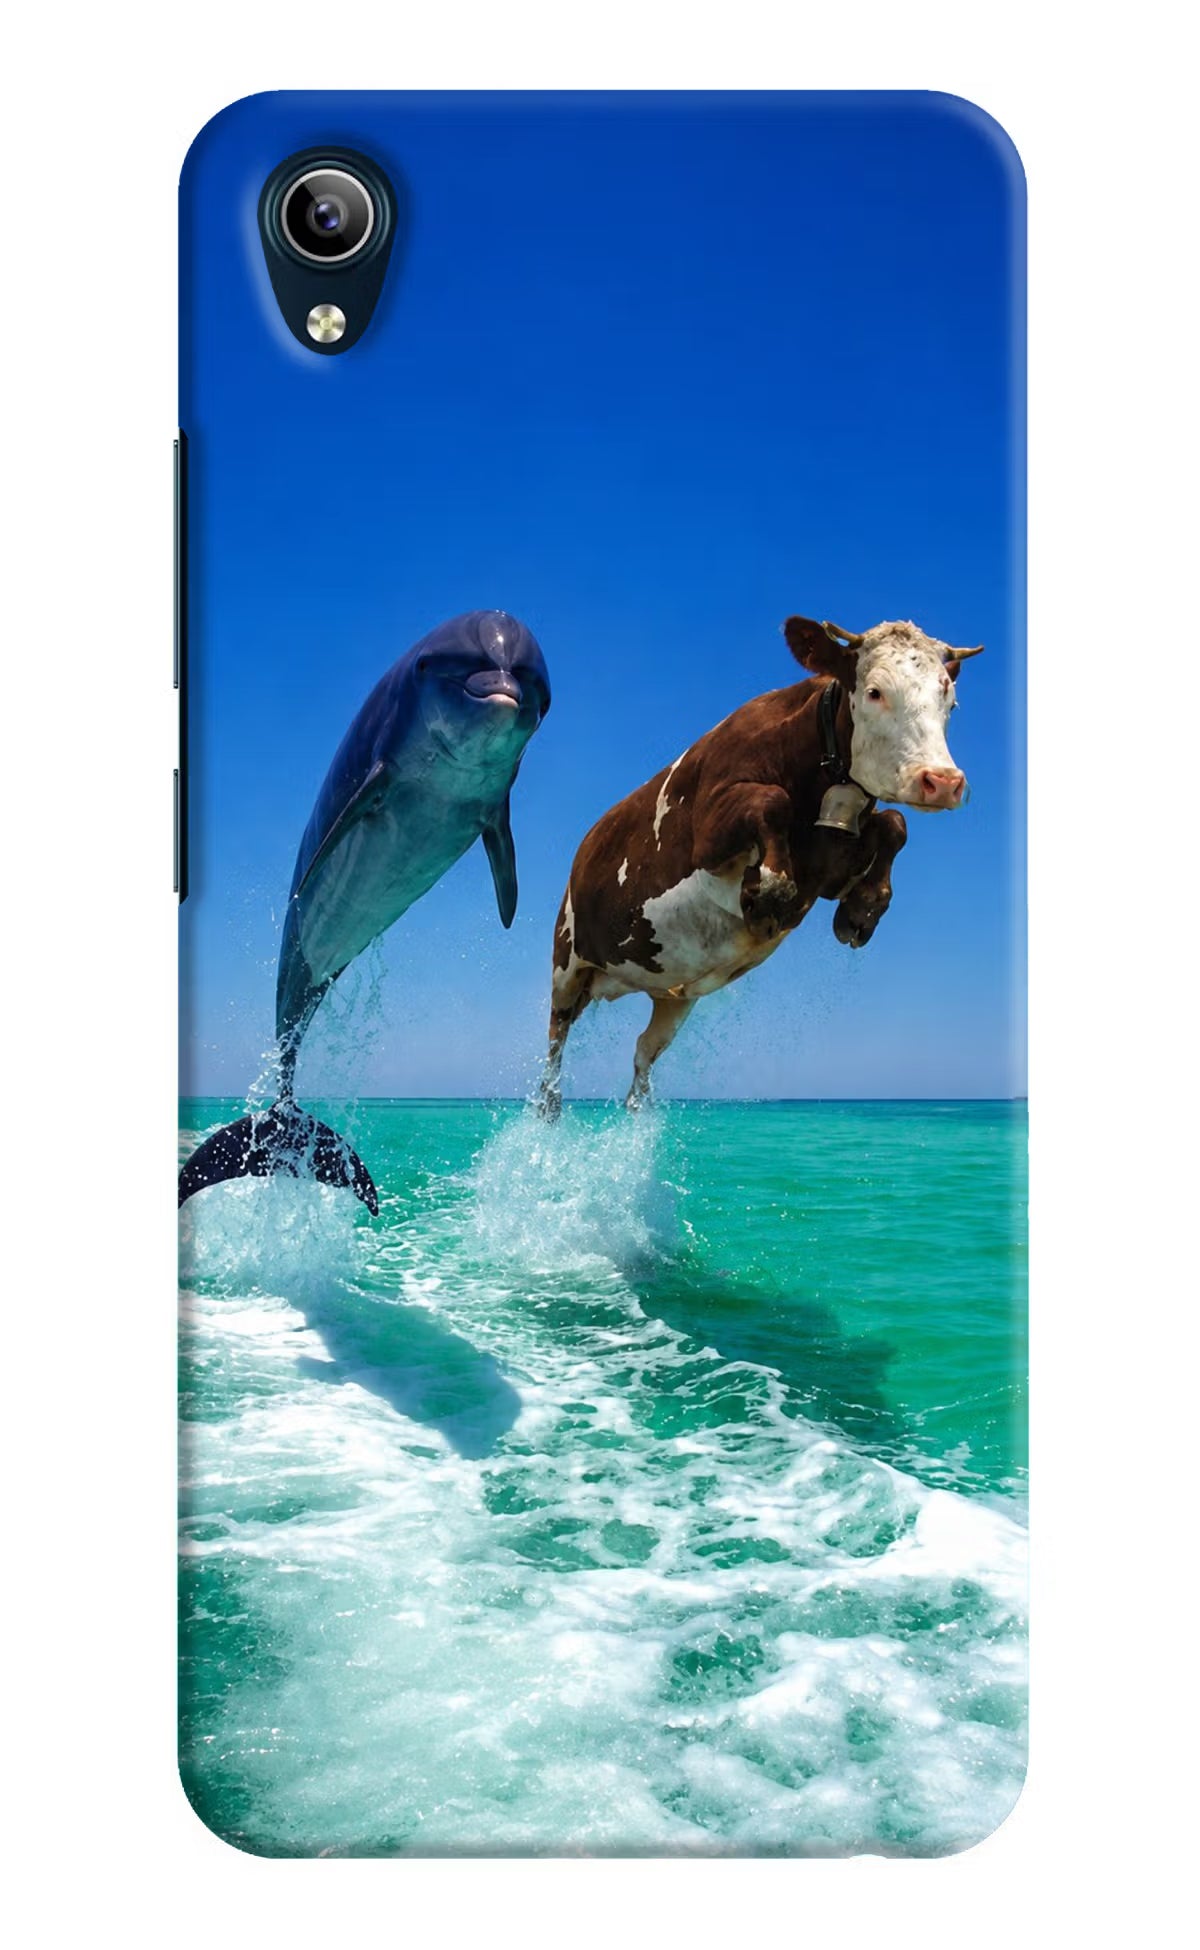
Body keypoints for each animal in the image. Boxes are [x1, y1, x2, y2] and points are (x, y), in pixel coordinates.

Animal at [537, 614, 983, 1116]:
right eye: (874, 691)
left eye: (950, 699)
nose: (942, 782)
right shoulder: (708, 833)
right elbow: (772, 801)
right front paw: (768, 892)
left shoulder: (830, 867)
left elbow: (894, 823)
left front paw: (862, 909)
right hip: (566, 962)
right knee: (554, 1042)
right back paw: (549, 1106)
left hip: (673, 995)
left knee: (642, 1053)